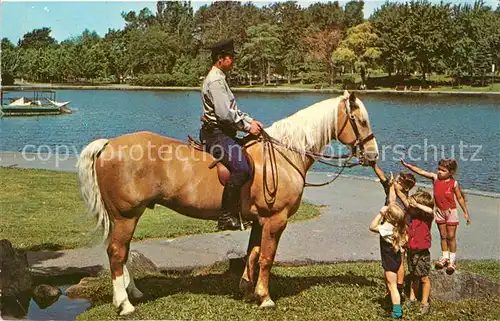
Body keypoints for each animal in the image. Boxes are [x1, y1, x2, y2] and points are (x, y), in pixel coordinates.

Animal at [76, 90, 376, 312]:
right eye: (361, 121)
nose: (372, 155)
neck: (282, 155)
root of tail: (109, 144)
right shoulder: (275, 220)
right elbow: (267, 258)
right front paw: (265, 298)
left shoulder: (260, 220)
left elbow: (253, 254)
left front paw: (248, 291)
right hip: (126, 216)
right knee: (117, 253)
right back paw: (124, 304)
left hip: (123, 217)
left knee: (122, 252)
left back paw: (133, 293)